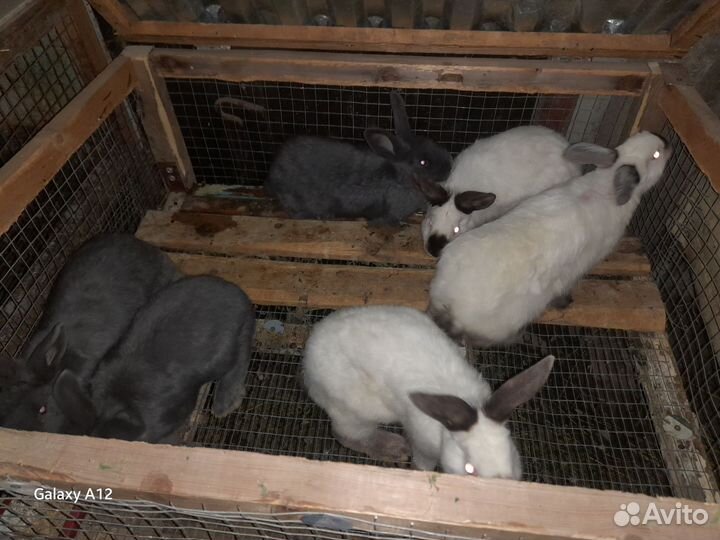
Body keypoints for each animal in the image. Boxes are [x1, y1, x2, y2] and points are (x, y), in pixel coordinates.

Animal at [303, 305, 555, 478]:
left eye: (510, 455)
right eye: (469, 468)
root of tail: (309, 353)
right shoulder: (422, 444)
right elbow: (422, 463)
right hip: (356, 410)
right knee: (346, 435)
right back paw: (393, 448)